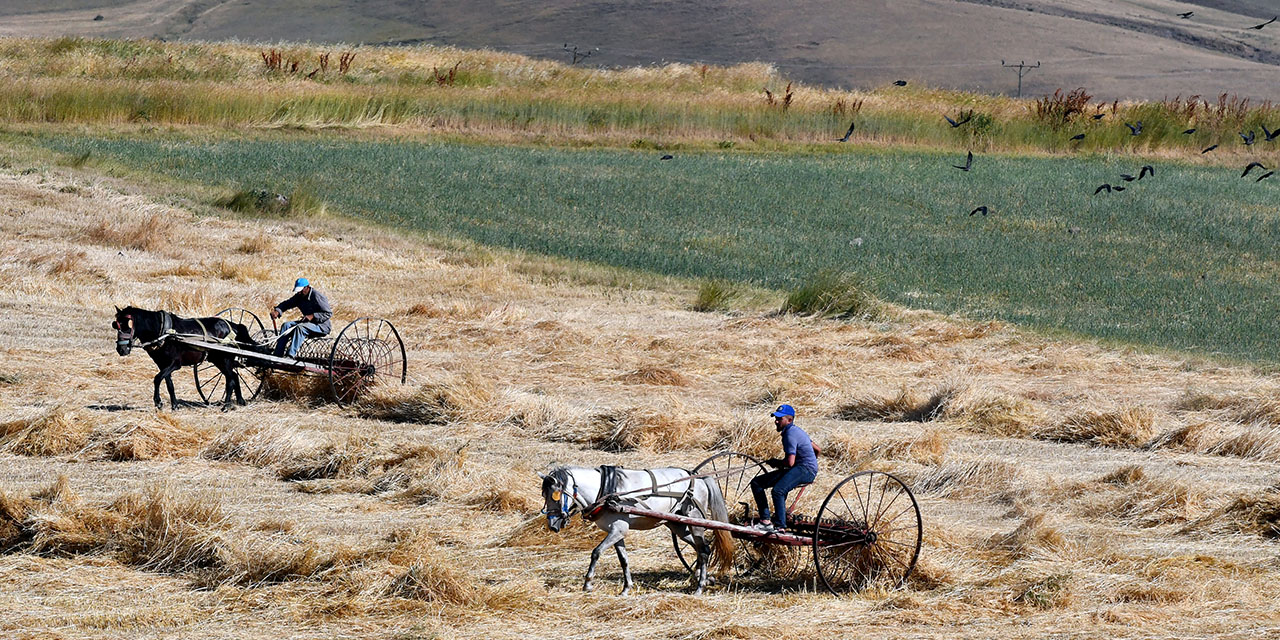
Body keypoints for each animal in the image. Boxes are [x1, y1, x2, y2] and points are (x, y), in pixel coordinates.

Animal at [115, 304, 262, 409]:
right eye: (115, 325)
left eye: (128, 324)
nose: (121, 349)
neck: (163, 332)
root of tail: (232, 325)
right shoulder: (163, 364)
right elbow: (169, 383)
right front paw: (174, 405)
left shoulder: (175, 364)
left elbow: (157, 379)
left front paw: (158, 402)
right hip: (219, 360)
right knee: (234, 376)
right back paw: (240, 401)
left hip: (224, 360)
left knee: (231, 379)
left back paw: (226, 406)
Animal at [537, 465, 732, 593]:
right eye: (544, 494)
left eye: (555, 495)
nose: (553, 525)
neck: (606, 490)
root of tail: (698, 478)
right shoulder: (617, 533)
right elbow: (624, 560)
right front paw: (626, 588)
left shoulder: (618, 530)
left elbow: (596, 552)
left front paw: (588, 583)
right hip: (678, 525)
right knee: (700, 549)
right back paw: (701, 578)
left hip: (695, 522)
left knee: (704, 549)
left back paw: (700, 586)